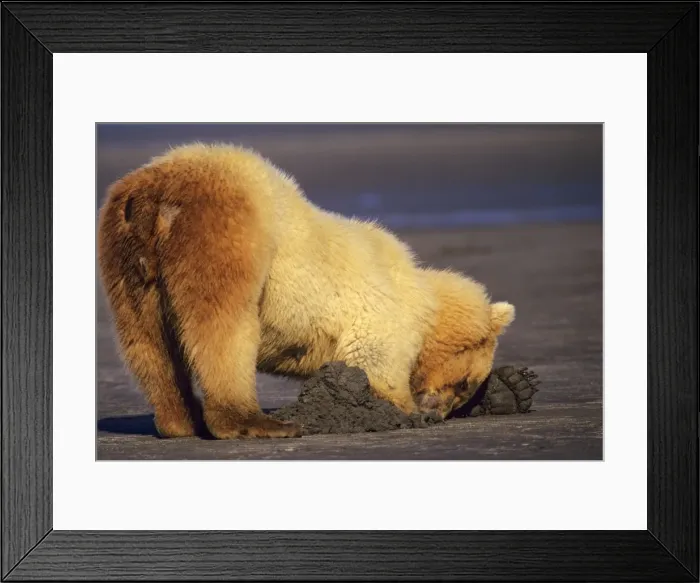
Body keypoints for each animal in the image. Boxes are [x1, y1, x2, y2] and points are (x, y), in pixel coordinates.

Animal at [97, 143, 515, 439]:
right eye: (465, 384)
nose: (437, 413)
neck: (418, 292)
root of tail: (155, 193)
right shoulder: (381, 311)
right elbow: (373, 361)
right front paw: (401, 410)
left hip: (125, 254)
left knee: (146, 340)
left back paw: (179, 421)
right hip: (225, 230)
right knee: (222, 329)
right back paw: (254, 422)